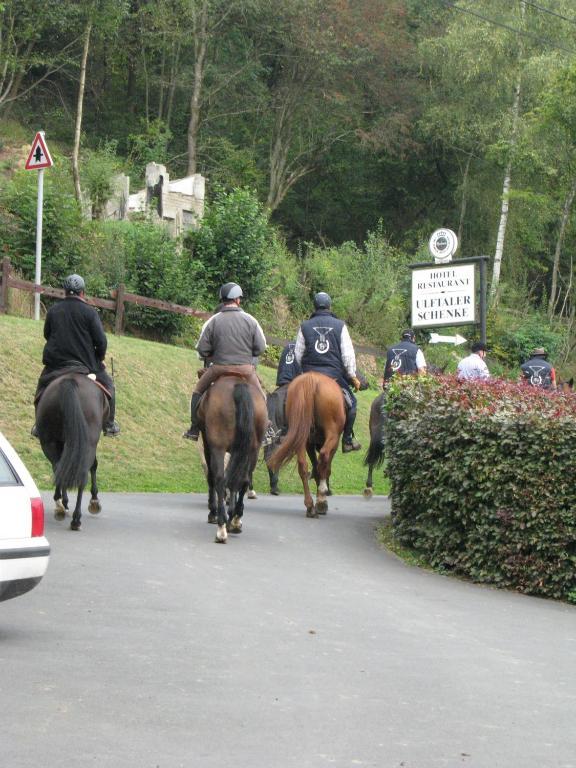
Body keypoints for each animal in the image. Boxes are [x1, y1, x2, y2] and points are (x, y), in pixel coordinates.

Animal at [36, 376, 108, 532]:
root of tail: (70, 380)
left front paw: (64, 502)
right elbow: (94, 465)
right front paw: (94, 499)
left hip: (50, 442)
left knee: (59, 468)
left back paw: (63, 508)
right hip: (85, 442)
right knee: (80, 472)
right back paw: (74, 516)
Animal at [198, 376, 268, 544]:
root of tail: (238, 385)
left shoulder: (208, 445)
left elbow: (213, 478)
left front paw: (213, 511)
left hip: (218, 447)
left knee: (219, 479)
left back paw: (221, 526)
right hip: (252, 449)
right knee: (243, 479)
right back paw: (235, 520)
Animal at [268, 370, 344, 516]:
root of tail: (311, 379)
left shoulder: (309, 443)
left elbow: (315, 466)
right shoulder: (335, 443)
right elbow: (326, 468)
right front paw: (323, 497)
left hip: (301, 437)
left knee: (303, 466)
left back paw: (310, 505)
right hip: (332, 434)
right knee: (323, 457)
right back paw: (321, 500)